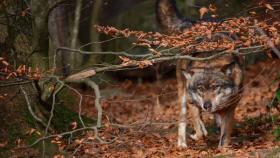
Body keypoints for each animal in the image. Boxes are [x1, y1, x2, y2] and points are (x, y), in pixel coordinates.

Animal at [155, 0, 243, 148]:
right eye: (200, 88)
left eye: (215, 87)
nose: (207, 105)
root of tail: (194, 22)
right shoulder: (192, 101)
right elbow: (200, 130)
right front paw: (197, 135)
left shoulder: (231, 107)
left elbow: (225, 135)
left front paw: (224, 149)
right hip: (183, 96)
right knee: (184, 120)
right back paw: (182, 144)